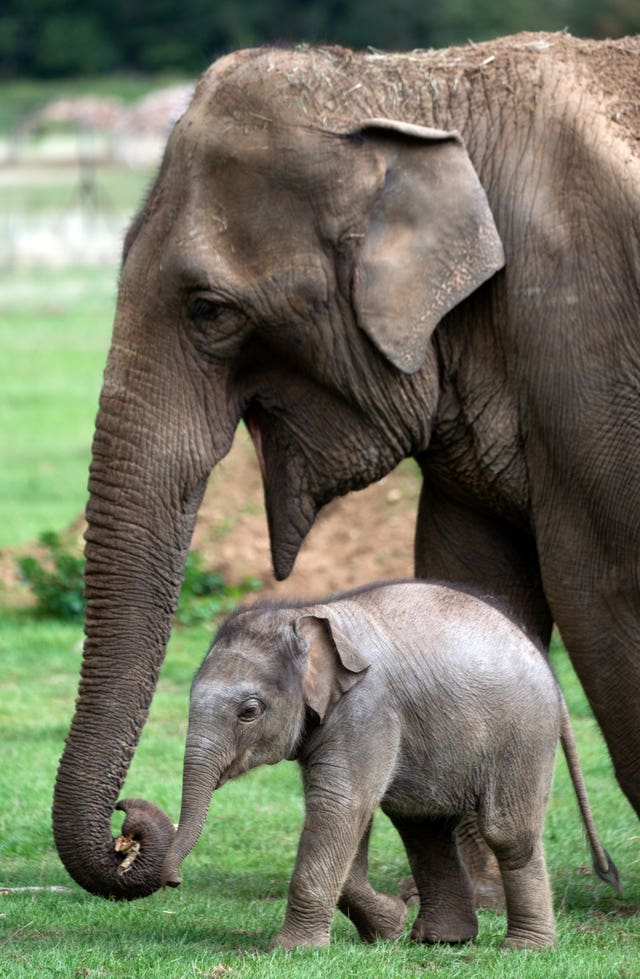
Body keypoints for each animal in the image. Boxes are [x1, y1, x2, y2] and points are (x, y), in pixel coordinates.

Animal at [53, 32, 640, 904]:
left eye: (208, 310)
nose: (131, 827)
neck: (414, 84)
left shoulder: (584, 321)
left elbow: (603, 581)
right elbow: (472, 579)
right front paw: (462, 902)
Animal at [160, 580, 604, 948]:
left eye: (249, 711)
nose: (173, 880)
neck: (306, 615)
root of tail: (551, 675)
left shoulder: (367, 707)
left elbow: (340, 806)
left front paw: (291, 950)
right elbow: (349, 816)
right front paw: (389, 926)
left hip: (524, 733)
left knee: (506, 833)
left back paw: (524, 948)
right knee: (423, 826)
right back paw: (442, 939)